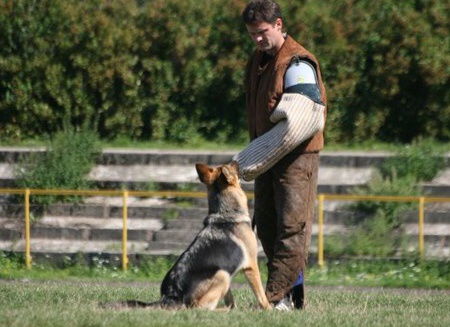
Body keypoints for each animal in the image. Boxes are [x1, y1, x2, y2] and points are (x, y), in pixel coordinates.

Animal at [106, 163, 270, 312]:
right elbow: (261, 294)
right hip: (222, 274)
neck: (225, 212)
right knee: (199, 308)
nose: (237, 161)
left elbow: (229, 297)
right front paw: (268, 309)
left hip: (223, 274)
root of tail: (171, 296)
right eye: (230, 165)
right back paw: (224, 311)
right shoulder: (251, 265)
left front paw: (234, 307)